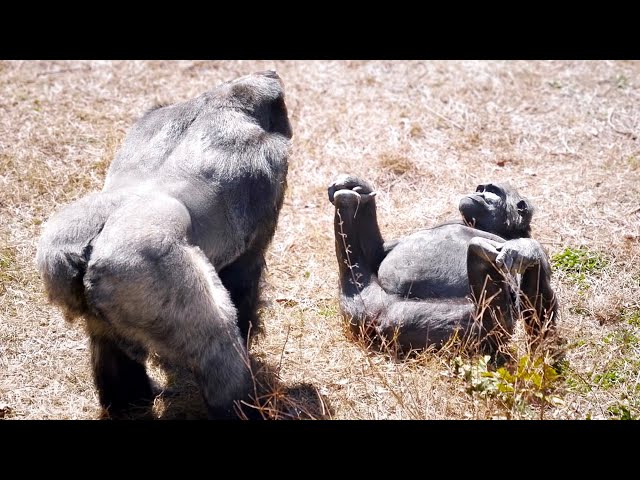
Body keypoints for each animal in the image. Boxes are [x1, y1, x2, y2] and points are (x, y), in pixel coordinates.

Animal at [37, 71, 292, 420]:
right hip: (141, 274)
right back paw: (241, 406)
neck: (225, 99)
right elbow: (243, 280)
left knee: (108, 345)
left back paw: (129, 402)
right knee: (216, 347)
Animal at [328, 174, 556, 354]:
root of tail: (375, 320)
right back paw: (348, 199)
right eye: (480, 188)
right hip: (360, 304)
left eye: (492, 191)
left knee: (490, 328)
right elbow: (378, 254)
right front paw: (357, 184)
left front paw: (524, 249)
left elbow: (535, 301)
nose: (479, 194)